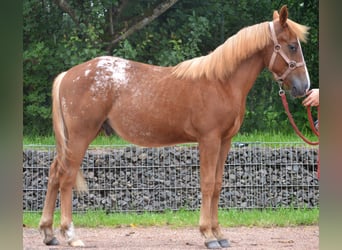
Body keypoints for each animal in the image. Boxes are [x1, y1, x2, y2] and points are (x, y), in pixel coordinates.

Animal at [39, 5, 310, 248]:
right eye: (292, 46)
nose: (304, 87)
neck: (221, 82)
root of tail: (68, 74)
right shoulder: (209, 140)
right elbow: (207, 183)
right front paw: (208, 235)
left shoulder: (225, 141)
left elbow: (218, 184)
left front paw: (220, 234)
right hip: (80, 137)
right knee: (66, 178)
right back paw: (70, 235)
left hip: (72, 140)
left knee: (54, 174)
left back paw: (49, 233)